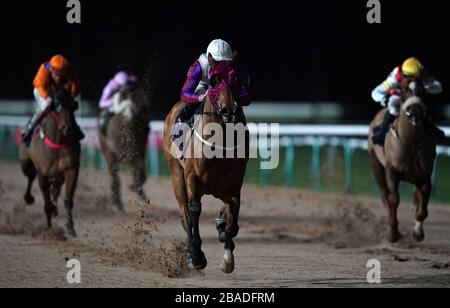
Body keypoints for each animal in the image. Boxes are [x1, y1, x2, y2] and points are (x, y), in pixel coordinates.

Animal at [19, 89, 81, 238]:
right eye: (56, 107)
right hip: (26, 163)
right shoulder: (43, 172)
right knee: (30, 177)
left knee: (55, 190)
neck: (57, 143)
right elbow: (46, 203)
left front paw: (70, 228)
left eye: (72, 106)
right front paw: (48, 229)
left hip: (59, 176)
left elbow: (68, 200)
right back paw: (29, 198)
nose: (67, 128)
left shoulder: (71, 169)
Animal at [163, 61, 250, 274]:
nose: (229, 111)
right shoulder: (192, 178)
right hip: (176, 174)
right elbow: (194, 210)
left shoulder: (233, 185)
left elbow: (232, 219)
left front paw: (227, 256)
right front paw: (196, 255)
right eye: (214, 80)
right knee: (185, 214)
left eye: (237, 79)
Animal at [370, 79, 440, 243]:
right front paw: (393, 233)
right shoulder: (391, 170)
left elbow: (422, 208)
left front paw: (418, 233)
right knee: (385, 196)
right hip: (376, 165)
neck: (411, 142)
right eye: (403, 90)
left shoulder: (424, 176)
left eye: (422, 90)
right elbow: (393, 199)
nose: (415, 112)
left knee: (415, 198)